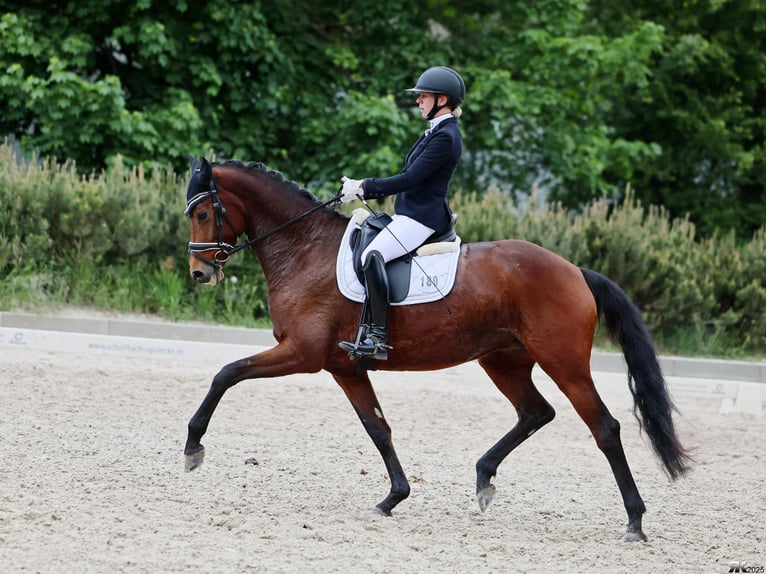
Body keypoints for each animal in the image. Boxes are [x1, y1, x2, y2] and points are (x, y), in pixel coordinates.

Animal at [182, 157, 691, 542]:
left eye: (203, 213)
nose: (200, 273)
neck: (304, 248)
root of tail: (575, 271)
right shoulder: (345, 368)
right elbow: (379, 429)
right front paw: (393, 498)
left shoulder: (302, 354)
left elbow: (226, 373)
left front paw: (192, 446)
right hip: (502, 360)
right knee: (535, 412)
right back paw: (484, 478)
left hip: (563, 363)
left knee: (604, 428)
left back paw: (634, 521)